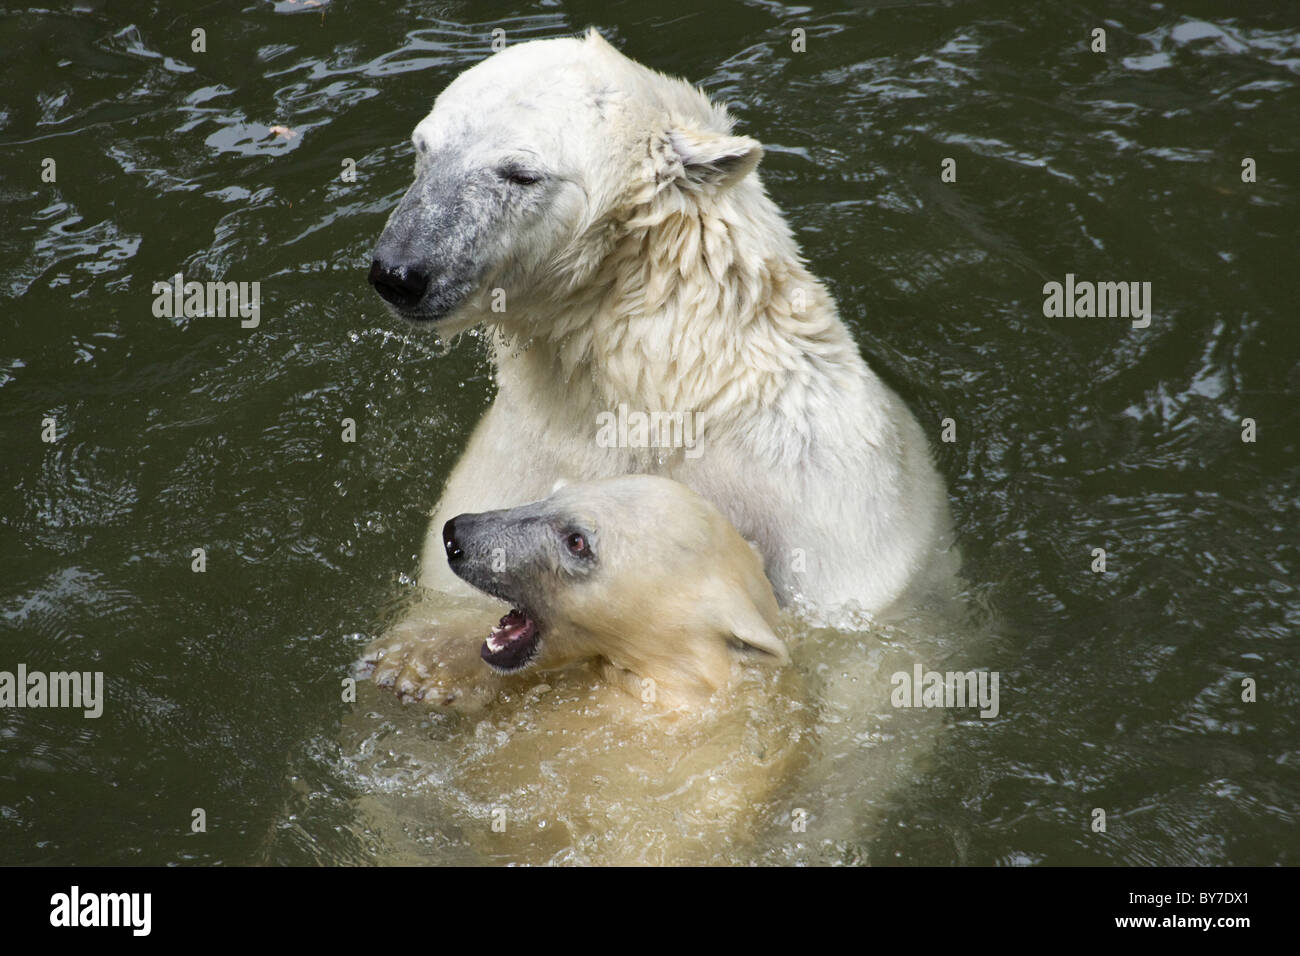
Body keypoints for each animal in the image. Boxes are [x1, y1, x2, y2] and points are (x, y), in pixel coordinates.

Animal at [366, 29, 956, 702]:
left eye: (520, 173)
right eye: (423, 148)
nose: (399, 272)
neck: (665, 389)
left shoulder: (823, 499)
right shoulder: (520, 455)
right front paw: (417, 664)